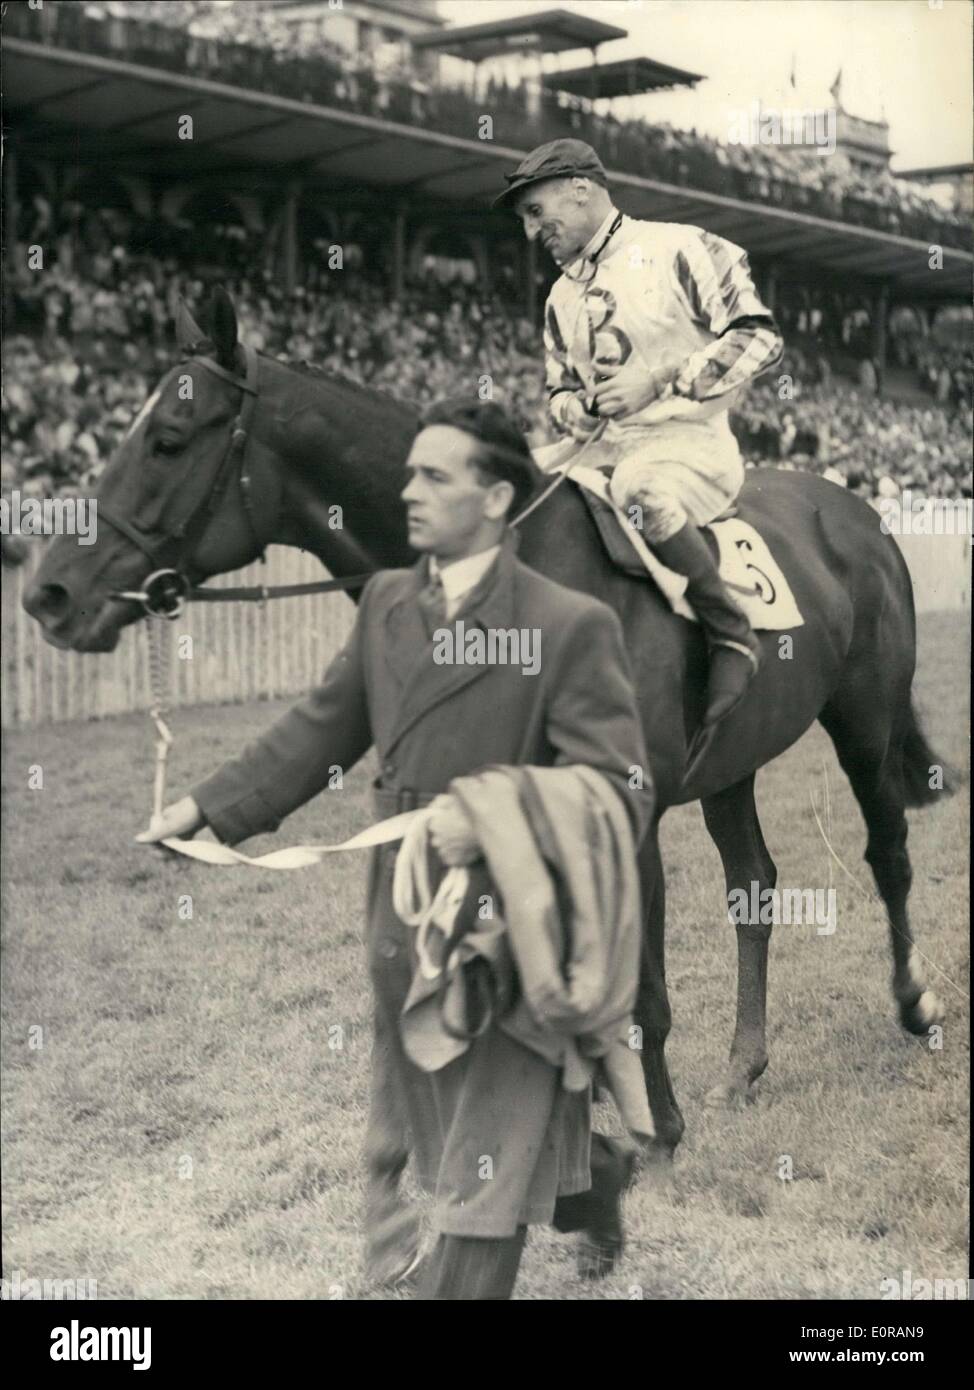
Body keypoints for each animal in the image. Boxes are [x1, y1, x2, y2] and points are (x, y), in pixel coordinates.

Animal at [24, 293, 950, 1173]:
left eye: (168, 440)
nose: (48, 593)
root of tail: (855, 510)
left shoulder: (627, 811)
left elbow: (638, 987)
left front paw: (658, 1128)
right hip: (733, 760)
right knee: (754, 886)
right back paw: (742, 1066)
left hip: (865, 722)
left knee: (888, 854)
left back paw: (914, 1003)